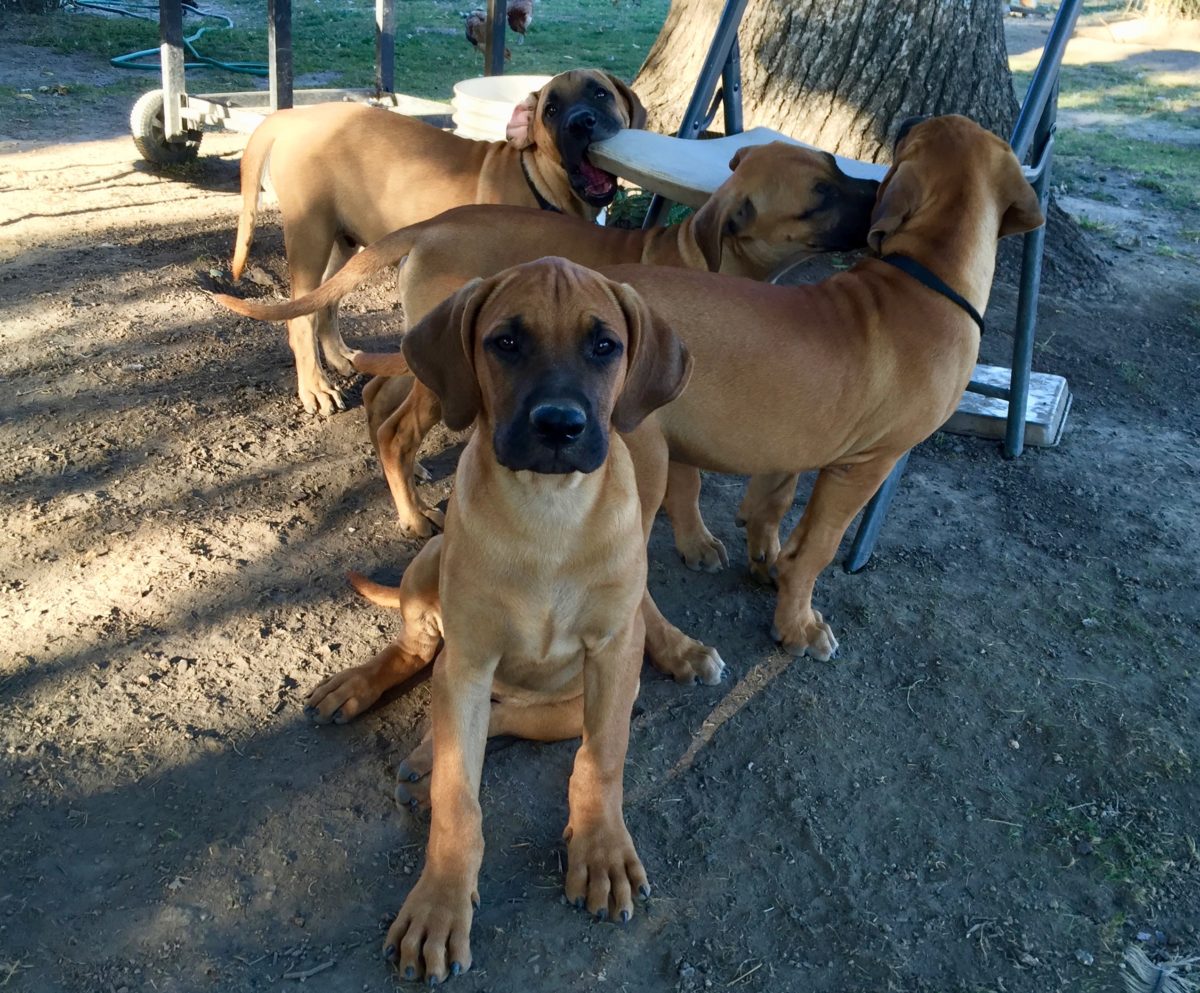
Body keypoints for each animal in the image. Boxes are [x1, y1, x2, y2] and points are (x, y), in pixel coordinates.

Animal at [211, 141, 878, 534]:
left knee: (383, 403)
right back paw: (412, 515)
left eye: (835, 165)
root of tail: (433, 225)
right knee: (397, 428)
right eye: (820, 196)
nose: (881, 193)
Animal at [228, 66, 643, 414]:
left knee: (324, 301)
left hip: (343, 239)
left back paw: (341, 356)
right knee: (300, 315)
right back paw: (315, 387)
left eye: (601, 94)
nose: (581, 123)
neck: (539, 178)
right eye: (551, 109)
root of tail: (295, 116)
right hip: (309, 230)